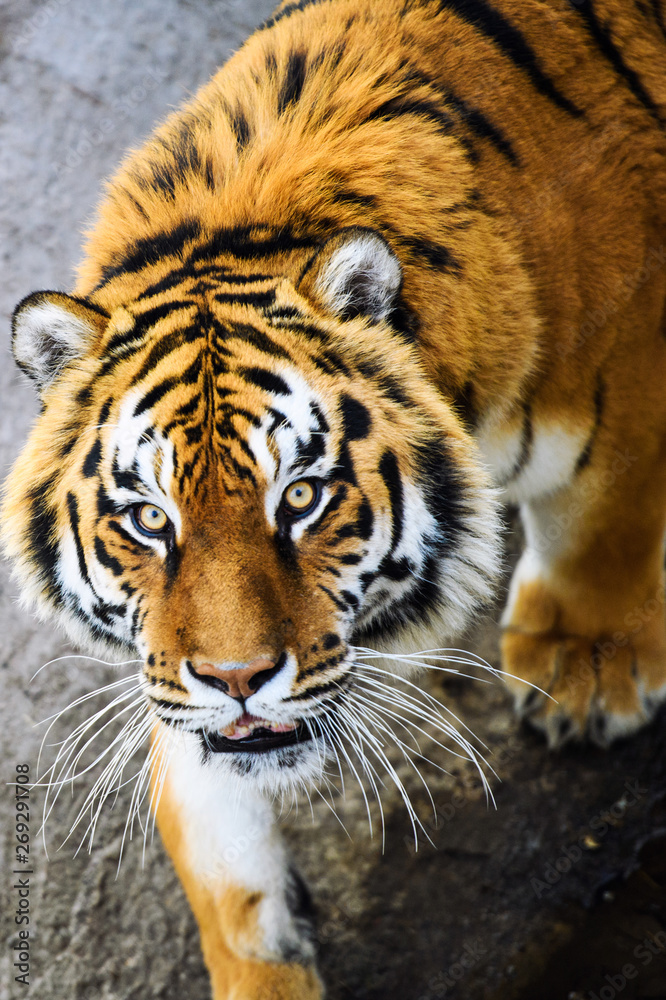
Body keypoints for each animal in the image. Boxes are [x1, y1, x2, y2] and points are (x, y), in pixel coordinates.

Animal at [2, 0, 666, 996]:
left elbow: (603, 518)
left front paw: (584, 673)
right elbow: (226, 870)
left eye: (303, 497)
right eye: (151, 519)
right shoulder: (174, 686)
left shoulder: (630, 363)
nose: (237, 681)